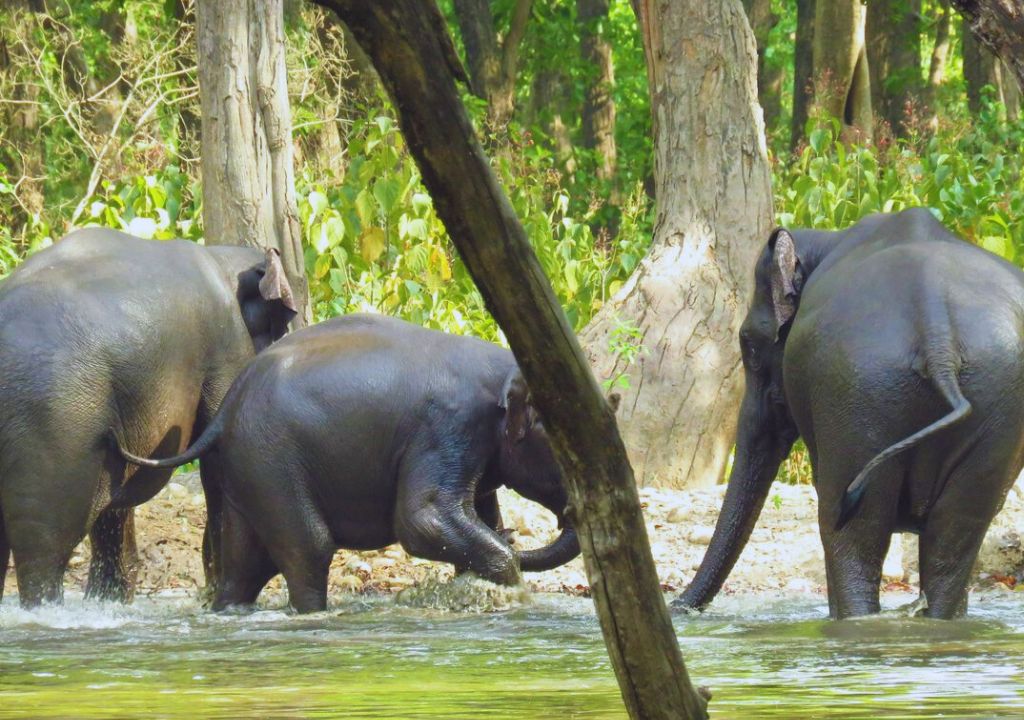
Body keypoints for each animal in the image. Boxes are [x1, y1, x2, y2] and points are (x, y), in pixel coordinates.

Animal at [0, 228, 296, 607]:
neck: (220, 257)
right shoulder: (225, 346)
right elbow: (216, 463)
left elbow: (115, 497)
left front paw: (108, 601)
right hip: (56, 424)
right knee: (45, 545)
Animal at [119, 313, 582, 613]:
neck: (501, 365)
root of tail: (227, 406)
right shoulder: (449, 426)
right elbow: (422, 521)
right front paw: (511, 588)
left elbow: (476, 516)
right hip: (271, 460)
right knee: (310, 548)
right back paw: (314, 615)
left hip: (243, 469)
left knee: (242, 566)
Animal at [677, 208, 1024, 619]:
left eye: (748, 344)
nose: (678, 608)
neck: (826, 239)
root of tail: (936, 331)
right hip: (988, 398)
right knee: (955, 529)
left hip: (857, 389)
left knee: (848, 527)